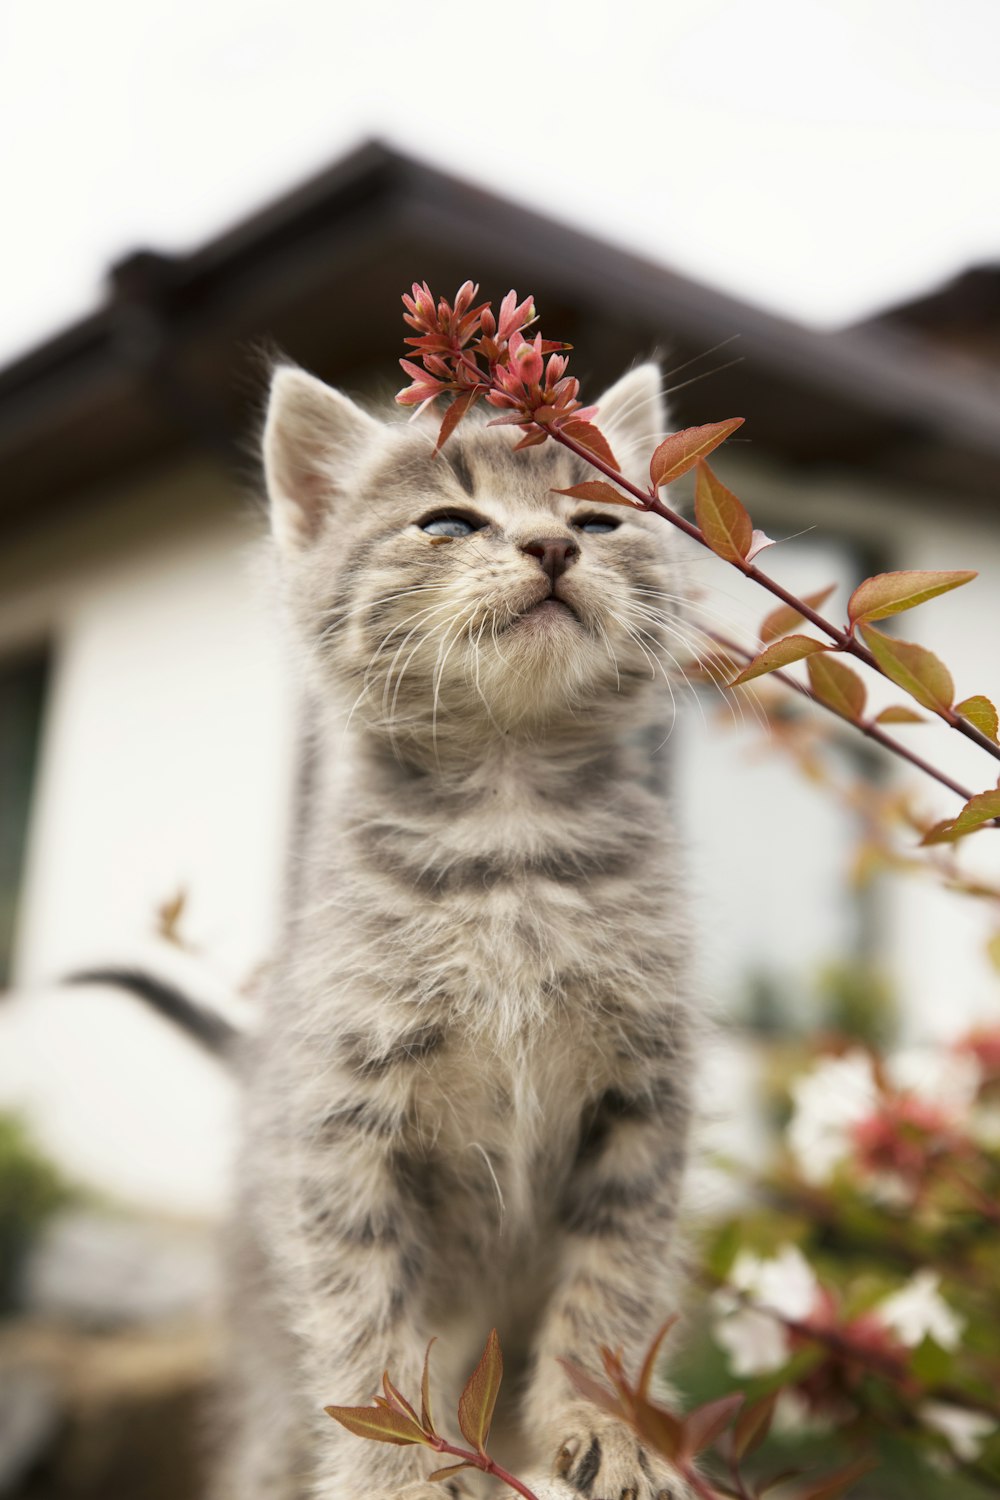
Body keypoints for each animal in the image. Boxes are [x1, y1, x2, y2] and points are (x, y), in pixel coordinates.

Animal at [215, 363, 692, 1500]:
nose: (554, 546)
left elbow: (613, 1285)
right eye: (446, 521)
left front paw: (607, 1424)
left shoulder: (642, 1107)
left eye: (599, 518)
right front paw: (405, 1470)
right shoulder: (342, 1128)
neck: (508, 838)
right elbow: (367, 1329)